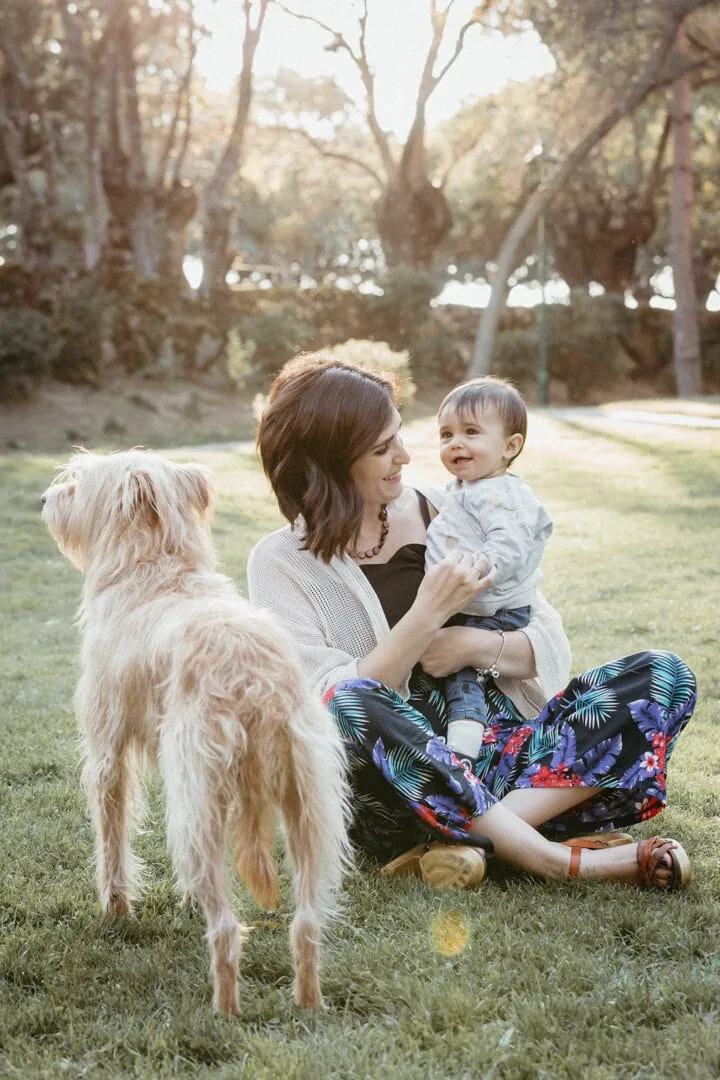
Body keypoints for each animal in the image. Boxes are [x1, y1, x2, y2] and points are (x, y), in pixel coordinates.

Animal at [41, 449, 351, 1016]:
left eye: (79, 483)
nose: (46, 498)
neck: (157, 569)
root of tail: (253, 679)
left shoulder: (108, 756)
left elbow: (112, 837)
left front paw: (116, 908)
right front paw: (183, 899)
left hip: (202, 800)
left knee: (226, 929)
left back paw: (224, 1010)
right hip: (306, 808)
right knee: (305, 923)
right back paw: (309, 1001)